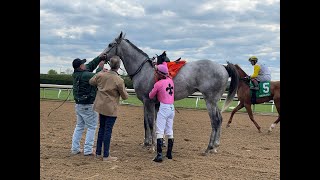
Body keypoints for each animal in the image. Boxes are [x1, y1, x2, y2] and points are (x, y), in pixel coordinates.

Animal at [101, 31, 239, 154]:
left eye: (110, 44)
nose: (101, 56)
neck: (144, 70)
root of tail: (223, 67)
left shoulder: (148, 102)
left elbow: (151, 123)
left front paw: (152, 146)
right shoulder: (149, 103)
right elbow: (147, 123)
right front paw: (147, 143)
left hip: (210, 100)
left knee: (215, 121)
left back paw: (209, 147)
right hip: (214, 101)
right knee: (220, 119)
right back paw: (215, 146)